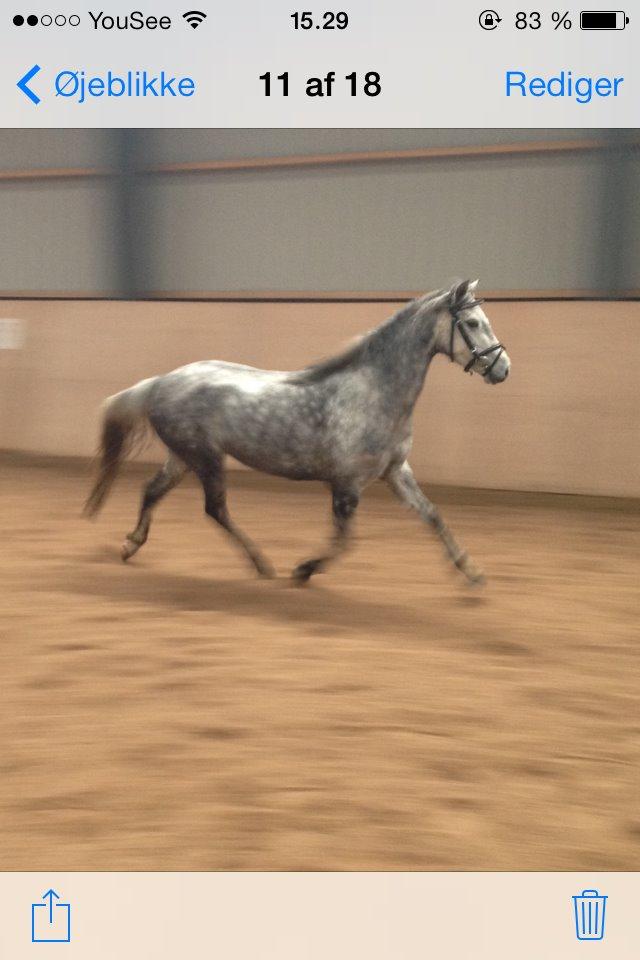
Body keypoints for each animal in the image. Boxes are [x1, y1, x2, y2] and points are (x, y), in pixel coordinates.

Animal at [84, 279, 510, 585]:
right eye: (473, 323)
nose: (503, 369)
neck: (374, 393)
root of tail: (160, 382)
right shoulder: (347, 484)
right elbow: (345, 540)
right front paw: (303, 570)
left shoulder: (394, 471)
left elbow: (433, 516)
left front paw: (471, 572)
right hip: (205, 458)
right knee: (215, 509)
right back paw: (262, 564)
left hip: (184, 457)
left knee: (153, 491)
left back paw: (130, 545)